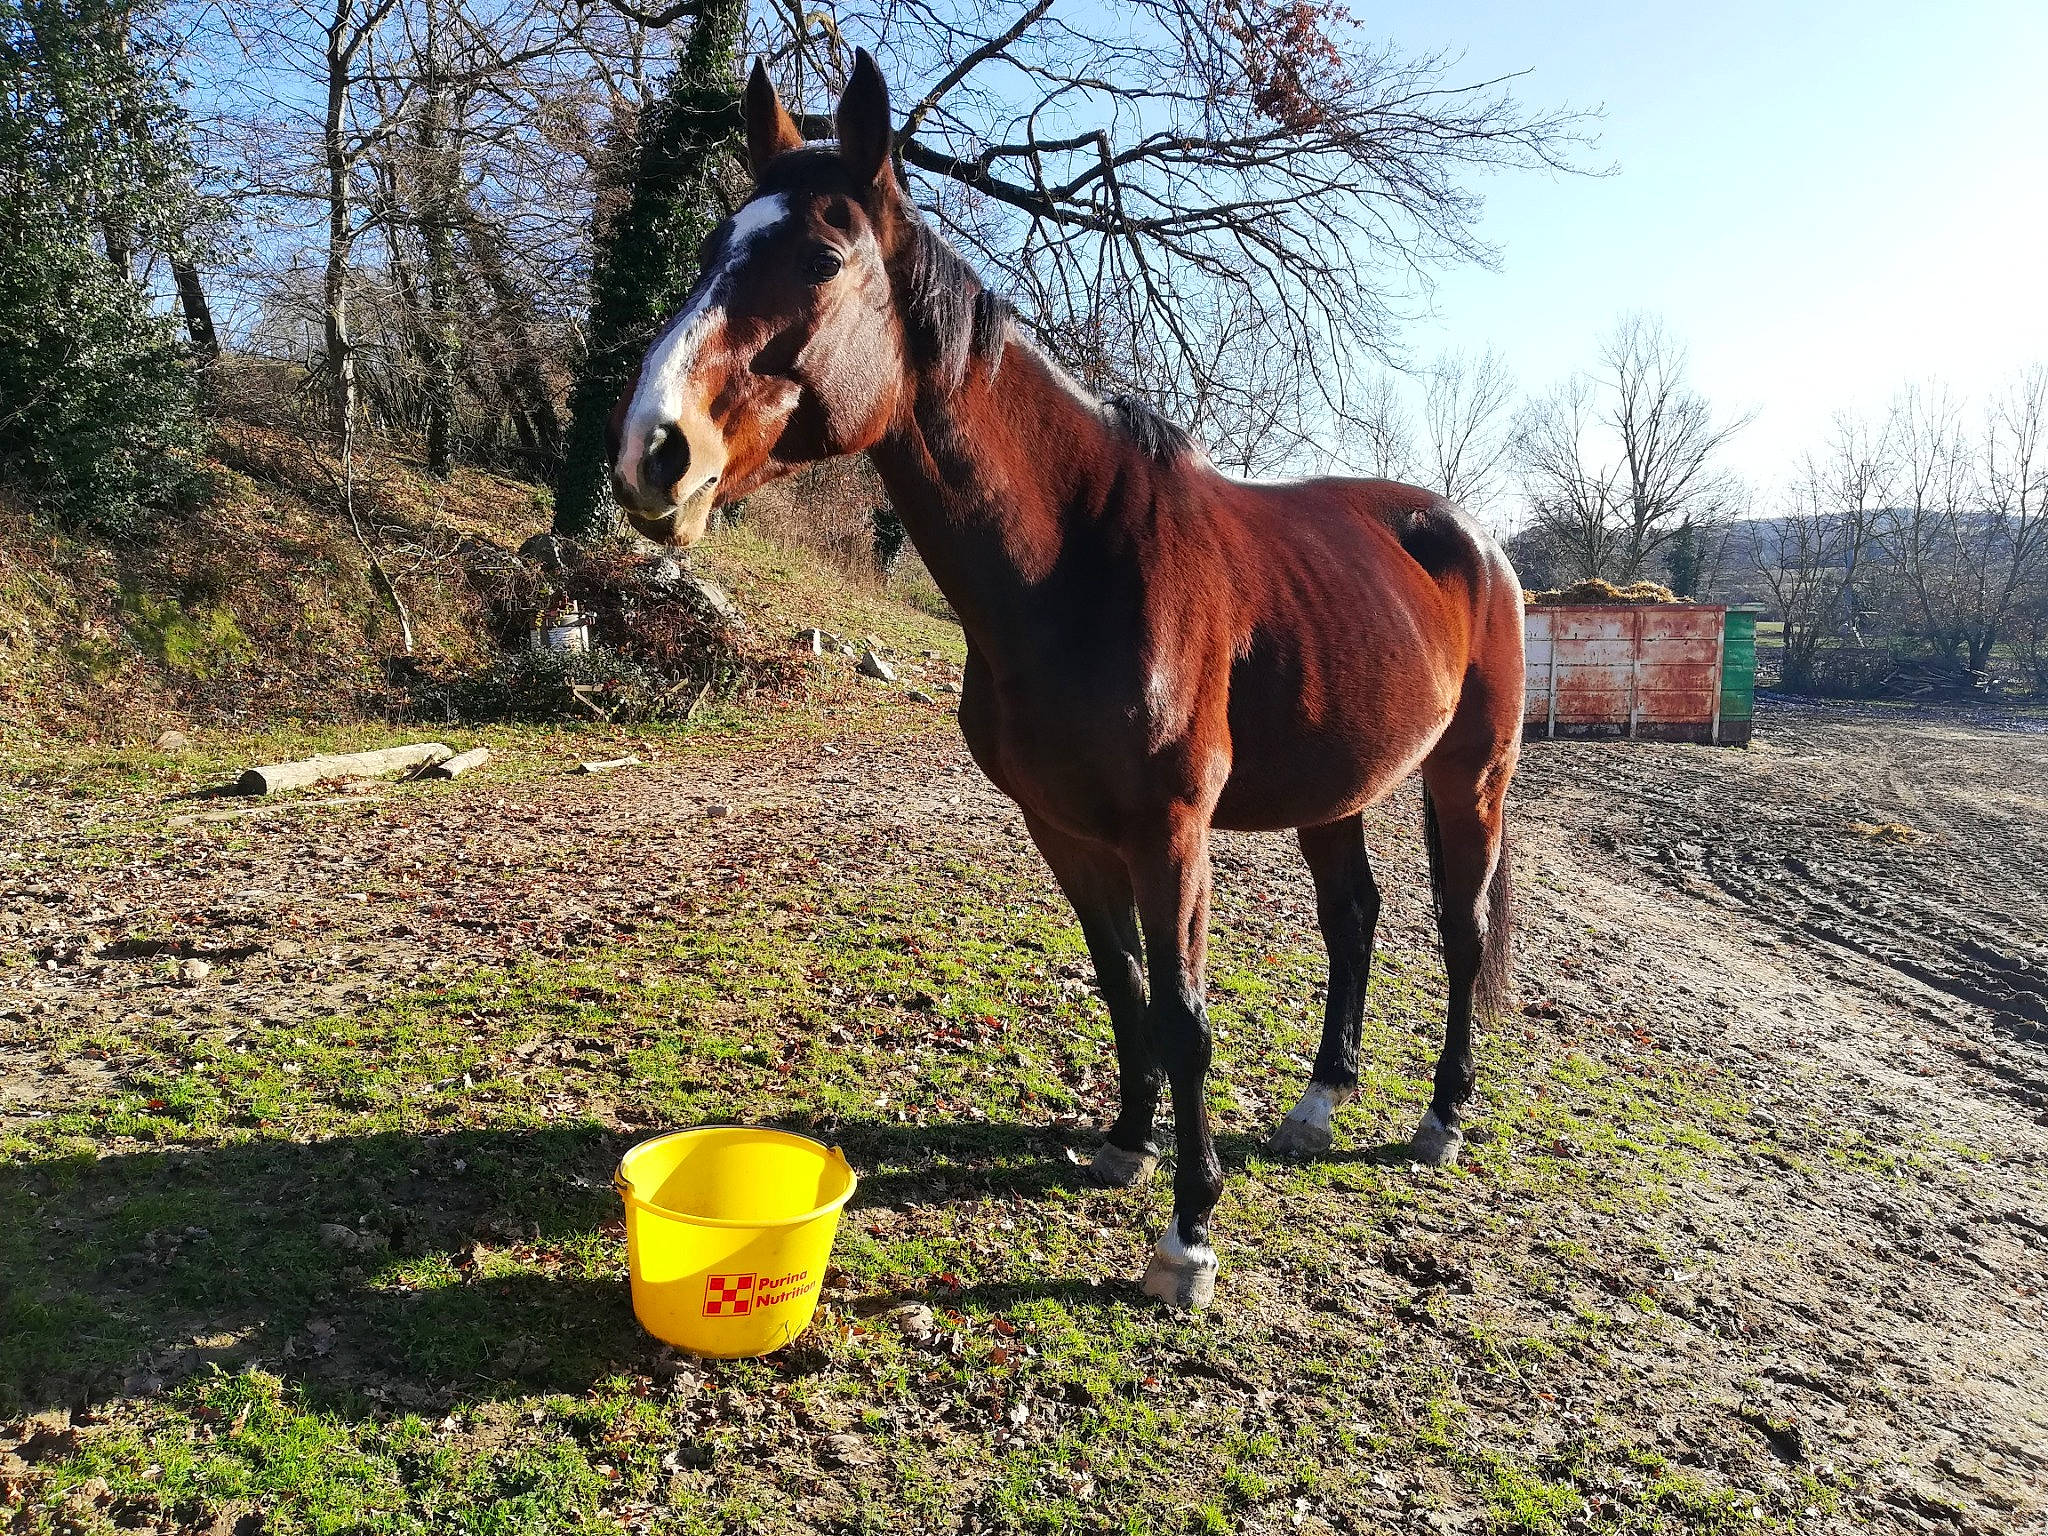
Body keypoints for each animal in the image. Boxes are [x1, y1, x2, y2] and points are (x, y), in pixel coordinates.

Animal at [608, 52, 1525, 1309]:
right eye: (708, 250)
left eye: (822, 259)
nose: (651, 450)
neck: (1081, 560)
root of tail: (1472, 539)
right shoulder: (1063, 827)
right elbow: (1119, 982)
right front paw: (1127, 1144)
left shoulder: (1168, 830)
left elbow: (1183, 1015)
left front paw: (1186, 1238)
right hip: (1331, 793)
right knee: (1353, 923)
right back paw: (1317, 1104)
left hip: (1466, 779)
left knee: (1459, 930)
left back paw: (1441, 1117)